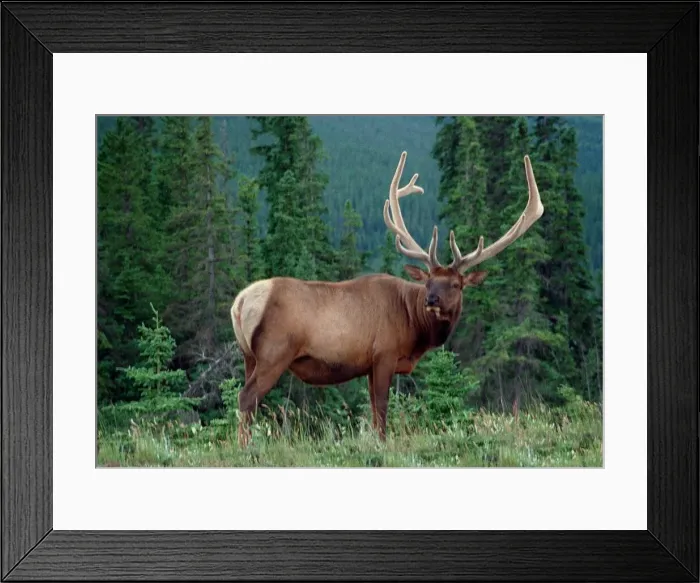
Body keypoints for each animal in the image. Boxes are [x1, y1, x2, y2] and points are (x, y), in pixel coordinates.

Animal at [230, 151, 544, 447]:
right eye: (429, 281)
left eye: (456, 284)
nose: (431, 300)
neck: (414, 327)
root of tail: (240, 302)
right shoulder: (384, 353)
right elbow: (381, 408)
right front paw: (382, 444)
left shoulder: (370, 364)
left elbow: (371, 408)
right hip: (274, 353)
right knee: (246, 398)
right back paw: (245, 448)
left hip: (249, 355)